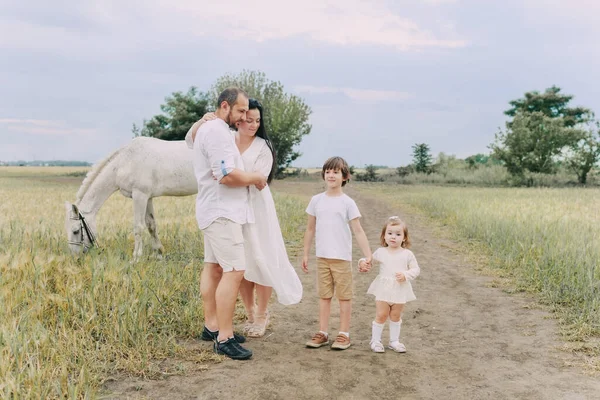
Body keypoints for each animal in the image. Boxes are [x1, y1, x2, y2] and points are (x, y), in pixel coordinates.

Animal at [65, 136, 197, 258]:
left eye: (76, 231)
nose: (75, 256)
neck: (125, 162)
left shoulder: (140, 195)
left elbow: (138, 227)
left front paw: (136, 257)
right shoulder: (147, 198)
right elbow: (151, 225)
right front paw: (158, 252)